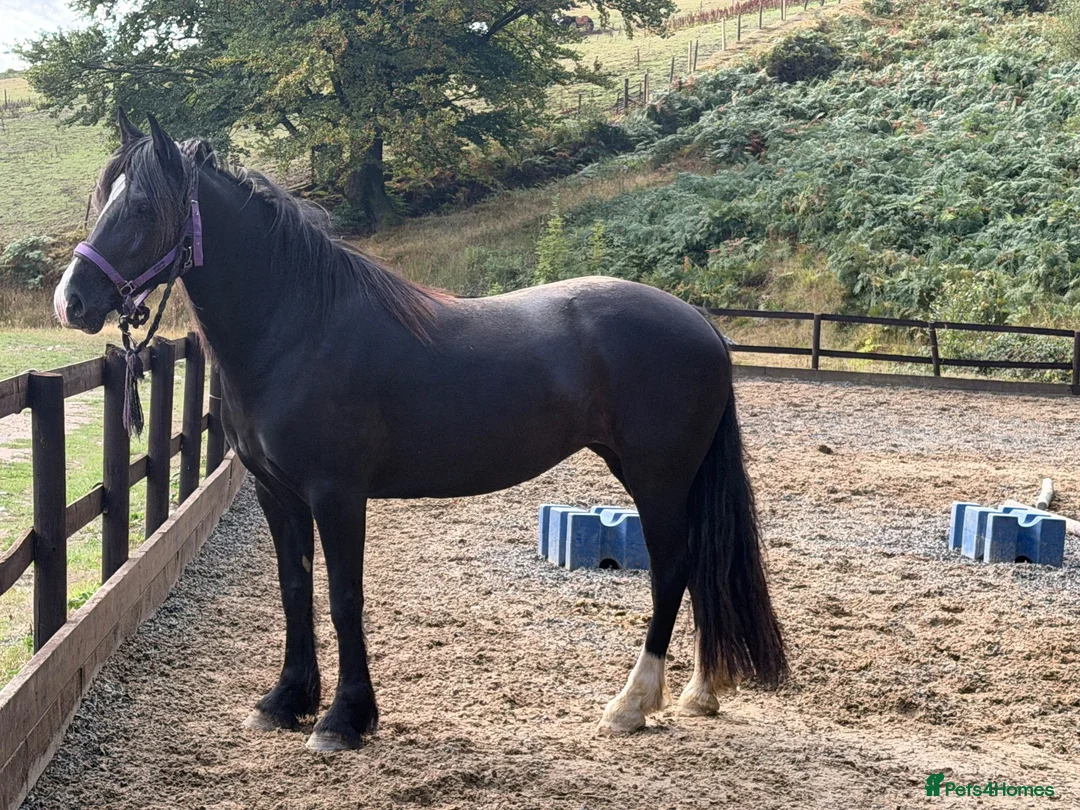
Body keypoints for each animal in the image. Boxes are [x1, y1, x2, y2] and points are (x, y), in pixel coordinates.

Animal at [53, 111, 787, 752]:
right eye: (103, 199)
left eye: (141, 208)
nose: (72, 300)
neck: (298, 327)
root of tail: (701, 323)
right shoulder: (277, 494)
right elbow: (296, 591)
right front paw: (286, 701)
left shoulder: (337, 495)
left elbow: (345, 597)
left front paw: (344, 720)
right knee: (698, 567)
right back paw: (700, 691)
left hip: (656, 478)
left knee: (674, 570)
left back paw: (631, 705)